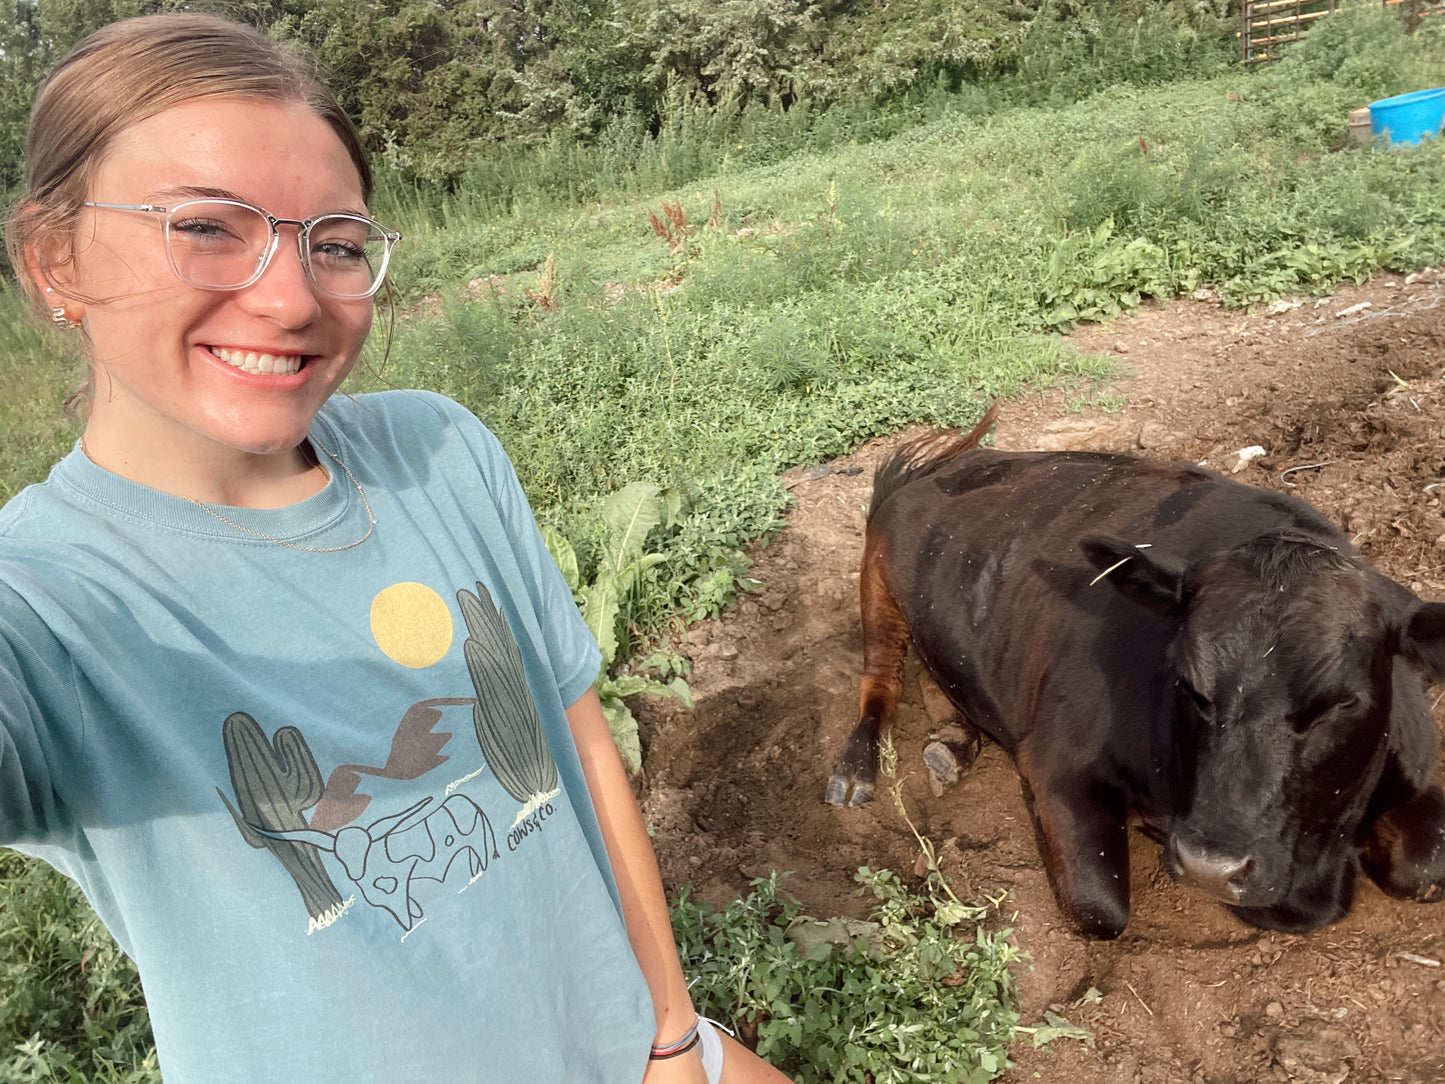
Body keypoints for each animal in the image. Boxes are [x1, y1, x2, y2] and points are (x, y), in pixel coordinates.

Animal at [826, 410, 1445, 936]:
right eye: (1188, 684)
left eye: (1342, 702)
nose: (1210, 865)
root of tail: (940, 470)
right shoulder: (1056, 761)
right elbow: (1101, 908)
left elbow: (1424, 867)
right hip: (877, 586)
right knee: (881, 682)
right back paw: (857, 769)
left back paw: (953, 744)